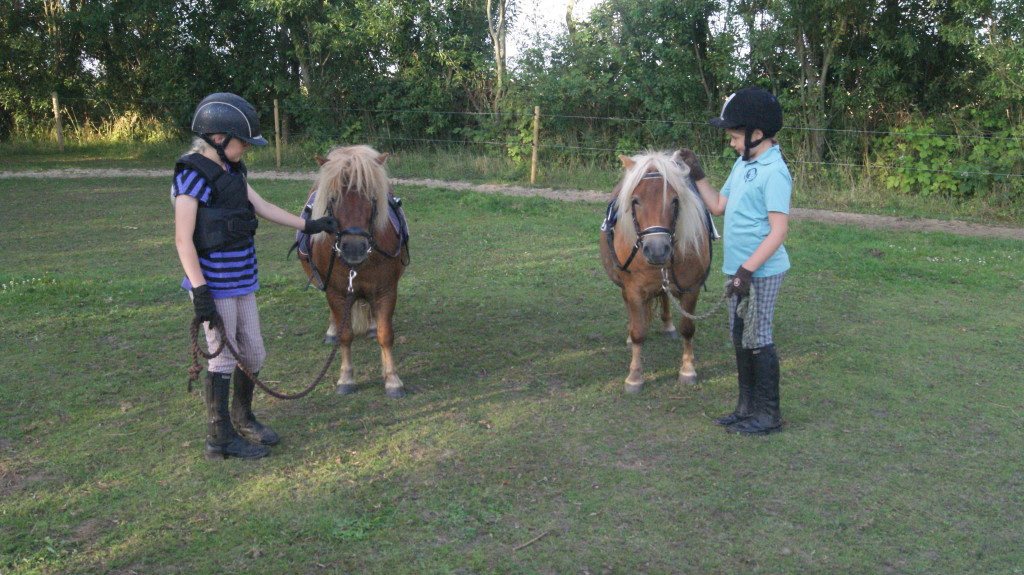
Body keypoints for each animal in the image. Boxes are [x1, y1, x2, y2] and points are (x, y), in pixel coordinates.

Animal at [301, 143, 409, 396]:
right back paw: (331, 331)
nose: (353, 247)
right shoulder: (336, 292)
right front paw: (346, 378)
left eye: (372, 198)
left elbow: (385, 335)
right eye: (333, 198)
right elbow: (345, 335)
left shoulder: (386, 291)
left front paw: (392, 379)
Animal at [598, 146, 712, 392]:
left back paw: (668, 326)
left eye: (675, 200)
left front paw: (687, 370)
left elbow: (688, 328)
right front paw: (634, 376)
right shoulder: (634, 289)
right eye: (635, 201)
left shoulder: (691, 288)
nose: (658, 249)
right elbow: (639, 332)